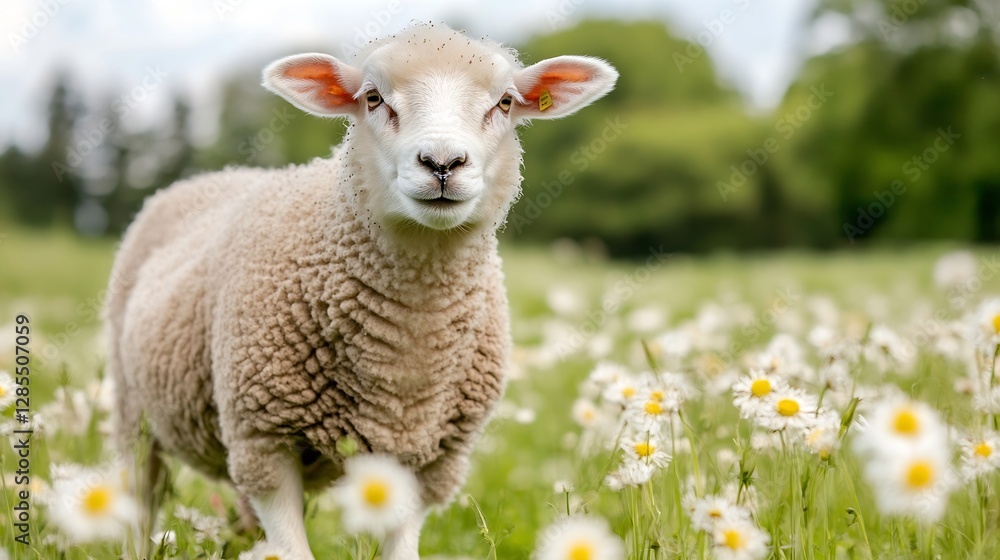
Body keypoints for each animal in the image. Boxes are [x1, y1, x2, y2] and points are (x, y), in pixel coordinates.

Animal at [105, 23, 617, 560]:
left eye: (504, 102)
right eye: (373, 98)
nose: (442, 163)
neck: (408, 347)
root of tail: (212, 177)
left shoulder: (428, 459)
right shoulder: (263, 439)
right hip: (134, 411)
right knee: (140, 495)